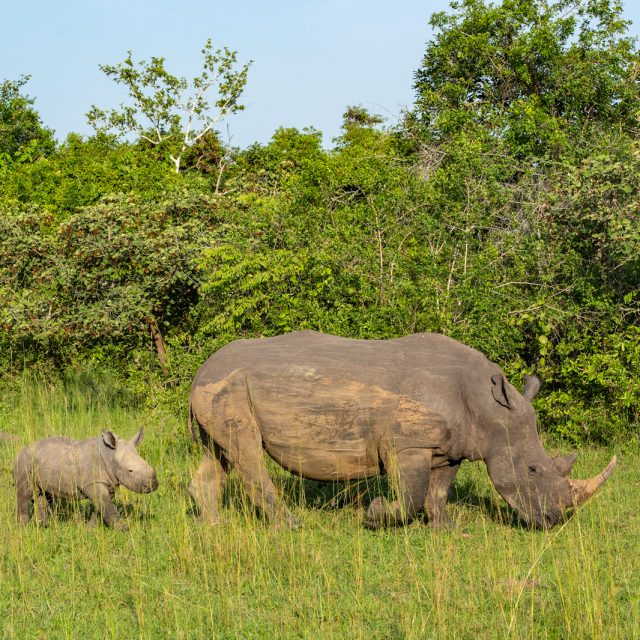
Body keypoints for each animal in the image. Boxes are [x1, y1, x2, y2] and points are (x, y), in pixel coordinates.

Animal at [13, 428, 158, 530]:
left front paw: (90, 529)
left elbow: (101, 507)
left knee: (43, 495)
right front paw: (123, 530)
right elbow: (108, 507)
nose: (154, 484)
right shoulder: (93, 482)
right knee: (25, 493)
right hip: (23, 462)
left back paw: (44, 526)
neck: (110, 455)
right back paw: (23, 528)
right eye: (130, 471)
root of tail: (20, 450)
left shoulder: (107, 483)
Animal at [188, 331, 616, 530]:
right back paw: (290, 526)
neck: (486, 406)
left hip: (218, 391)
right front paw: (375, 515)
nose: (554, 521)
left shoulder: (451, 447)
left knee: (218, 454)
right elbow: (410, 494)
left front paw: (445, 529)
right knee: (245, 452)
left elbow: (438, 491)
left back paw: (213, 524)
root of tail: (200, 370)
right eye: (532, 469)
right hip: (229, 388)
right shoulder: (408, 444)